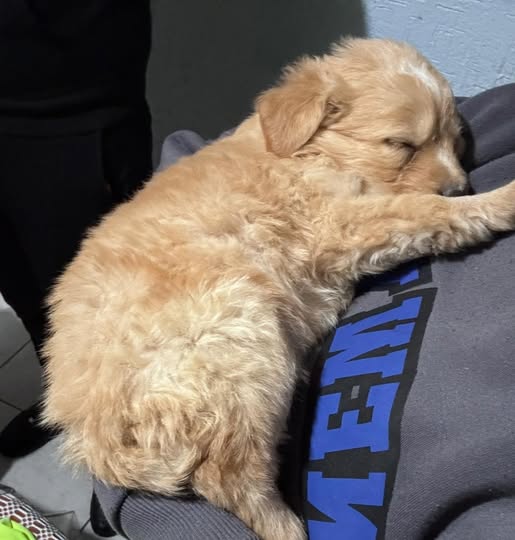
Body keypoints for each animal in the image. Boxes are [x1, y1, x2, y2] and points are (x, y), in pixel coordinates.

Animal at [42, 39, 515, 540]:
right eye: (401, 145)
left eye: (457, 139)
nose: (459, 186)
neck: (304, 152)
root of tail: (92, 428)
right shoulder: (338, 223)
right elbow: (425, 211)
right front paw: (500, 198)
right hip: (242, 342)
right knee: (232, 477)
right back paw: (288, 525)